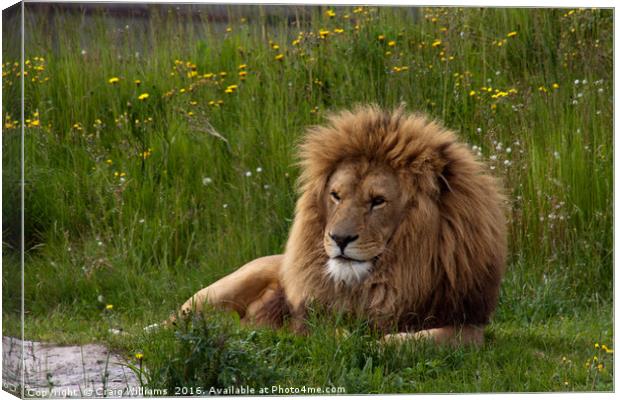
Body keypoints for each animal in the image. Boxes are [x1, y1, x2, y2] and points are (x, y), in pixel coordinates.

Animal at [176, 104, 508, 346]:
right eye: (336, 195)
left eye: (378, 201)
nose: (340, 238)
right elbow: (329, 331)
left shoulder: (468, 322)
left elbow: (428, 338)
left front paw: (382, 343)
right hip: (222, 289)